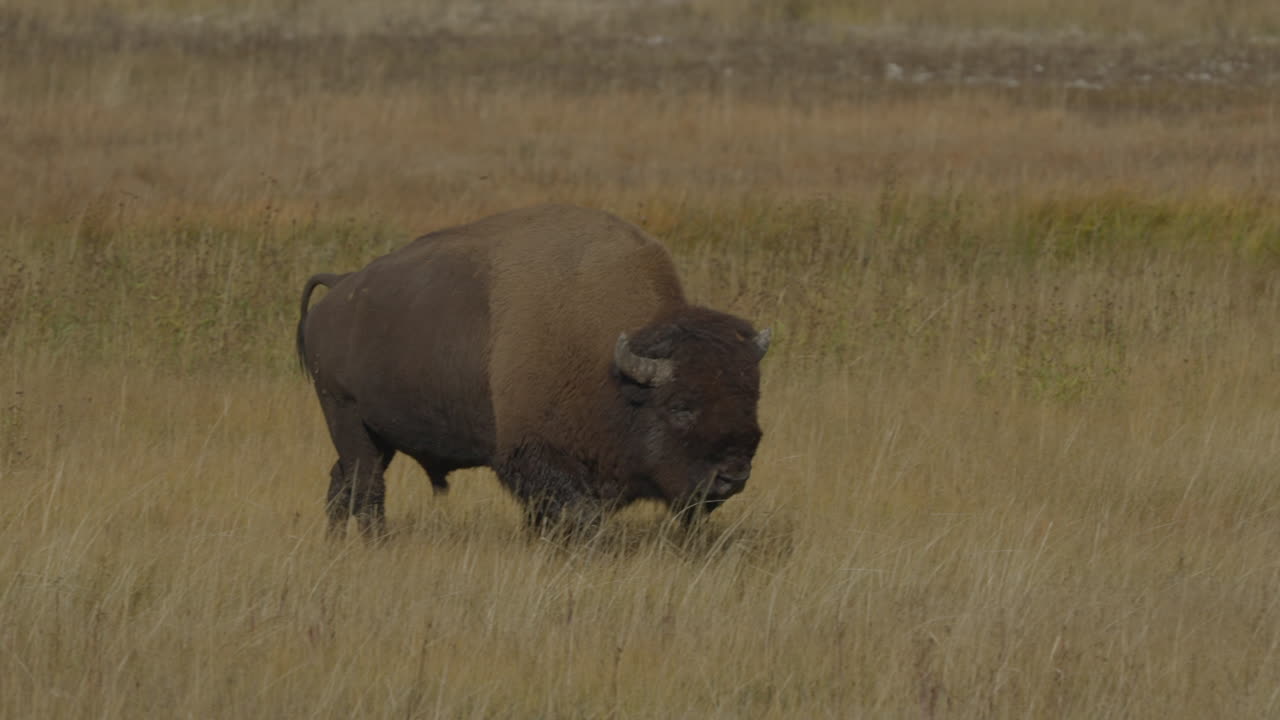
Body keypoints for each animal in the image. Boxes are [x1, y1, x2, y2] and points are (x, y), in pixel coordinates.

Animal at [297, 205, 770, 538]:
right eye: (680, 406)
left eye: (752, 398)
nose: (733, 476)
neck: (610, 366)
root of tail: (339, 288)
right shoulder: (534, 456)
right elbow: (577, 513)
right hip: (346, 415)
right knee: (367, 486)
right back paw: (378, 542)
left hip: (378, 433)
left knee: (342, 481)